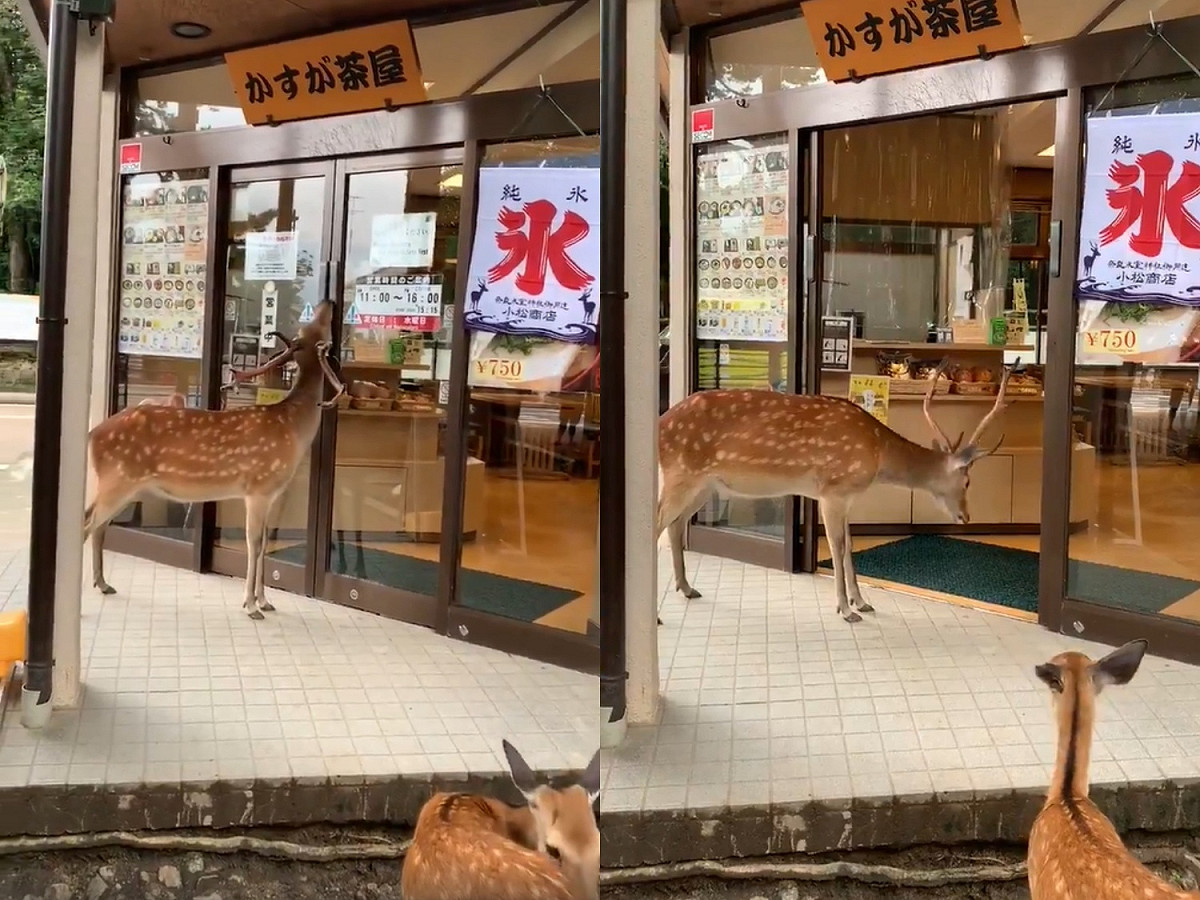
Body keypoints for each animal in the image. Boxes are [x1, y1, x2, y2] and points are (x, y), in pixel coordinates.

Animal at [84, 300, 345, 619]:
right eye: (314, 326)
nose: (329, 303)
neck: (292, 426)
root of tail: (93, 434)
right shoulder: (257, 487)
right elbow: (253, 543)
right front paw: (250, 605)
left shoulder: (272, 493)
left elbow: (264, 544)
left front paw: (265, 601)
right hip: (117, 478)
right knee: (87, 523)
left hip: (125, 485)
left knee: (98, 523)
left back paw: (103, 583)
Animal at [656, 358, 1016, 622]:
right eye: (967, 482)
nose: (966, 516)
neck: (878, 453)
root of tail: (660, 424)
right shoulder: (832, 490)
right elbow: (837, 545)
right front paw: (845, 609)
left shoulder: (848, 497)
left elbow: (849, 546)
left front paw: (862, 602)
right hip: (679, 473)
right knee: (657, 524)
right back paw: (660, 617)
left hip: (705, 484)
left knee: (675, 525)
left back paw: (687, 588)